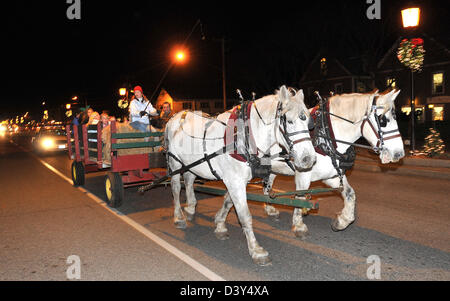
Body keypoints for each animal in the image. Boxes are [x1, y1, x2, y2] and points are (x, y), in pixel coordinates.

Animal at [165, 85, 316, 264]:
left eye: (308, 122)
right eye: (289, 121)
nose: (308, 159)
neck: (243, 136)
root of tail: (176, 117)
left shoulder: (238, 180)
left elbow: (228, 201)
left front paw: (220, 224)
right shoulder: (235, 181)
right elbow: (244, 215)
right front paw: (256, 250)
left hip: (193, 165)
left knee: (188, 181)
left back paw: (190, 209)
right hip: (175, 163)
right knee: (175, 188)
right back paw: (179, 217)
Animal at [214, 88, 404, 238]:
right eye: (383, 120)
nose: (399, 153)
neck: (325, 134)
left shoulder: (331, 176)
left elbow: (350, 194)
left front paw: (342, 221)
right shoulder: (303, 174)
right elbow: (300, 197)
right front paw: (299, 225)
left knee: (266, 185)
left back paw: (268, 209)